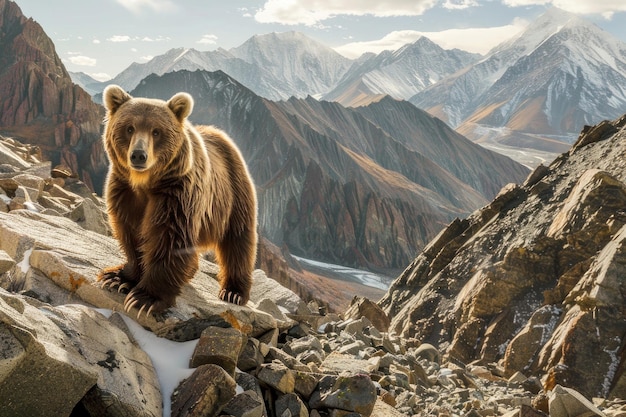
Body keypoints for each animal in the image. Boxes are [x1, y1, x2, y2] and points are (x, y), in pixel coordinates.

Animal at [97, 83, 256, 314]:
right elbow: (130, 233)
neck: (145, 183)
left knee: (238, 239)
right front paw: (118, 278)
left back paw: (233, 292)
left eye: (156, 131)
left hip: (234, 193)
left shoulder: (177, 194)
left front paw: (145, 298)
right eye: (129, 128)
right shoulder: (124, 191)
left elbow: (170, 238)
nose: (138, 155)